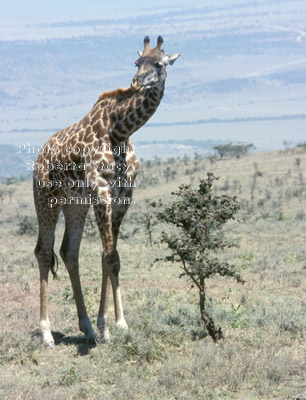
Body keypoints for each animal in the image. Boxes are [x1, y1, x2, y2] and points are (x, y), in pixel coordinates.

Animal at [32, 36, 179, 346]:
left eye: (159, 64)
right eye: (137, 62)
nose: (136, 82)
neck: (121, 130)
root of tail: (41, 153)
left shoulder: (123, 195)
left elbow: (110, 256)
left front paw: (113, 324)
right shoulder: (102, 191)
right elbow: (109, 256)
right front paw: (110, 328)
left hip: (75, 204)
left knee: (68, 252)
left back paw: (86, 326)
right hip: (46, 198)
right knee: (43, 252)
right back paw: (47, 333)